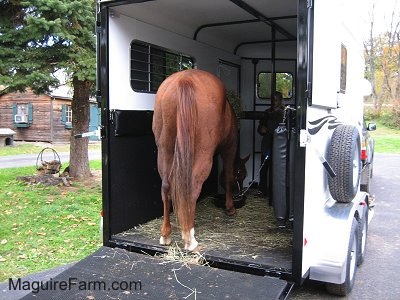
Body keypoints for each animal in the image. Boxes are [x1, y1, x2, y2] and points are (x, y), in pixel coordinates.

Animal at [152, 68, 236, 251]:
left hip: (165, 149)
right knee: (192, 187)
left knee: (166, 186)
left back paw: (166, 234)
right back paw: (189, 239)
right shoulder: (229, 149)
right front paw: (230, 208)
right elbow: (228, 177)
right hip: (203, 153)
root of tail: (185, 79)